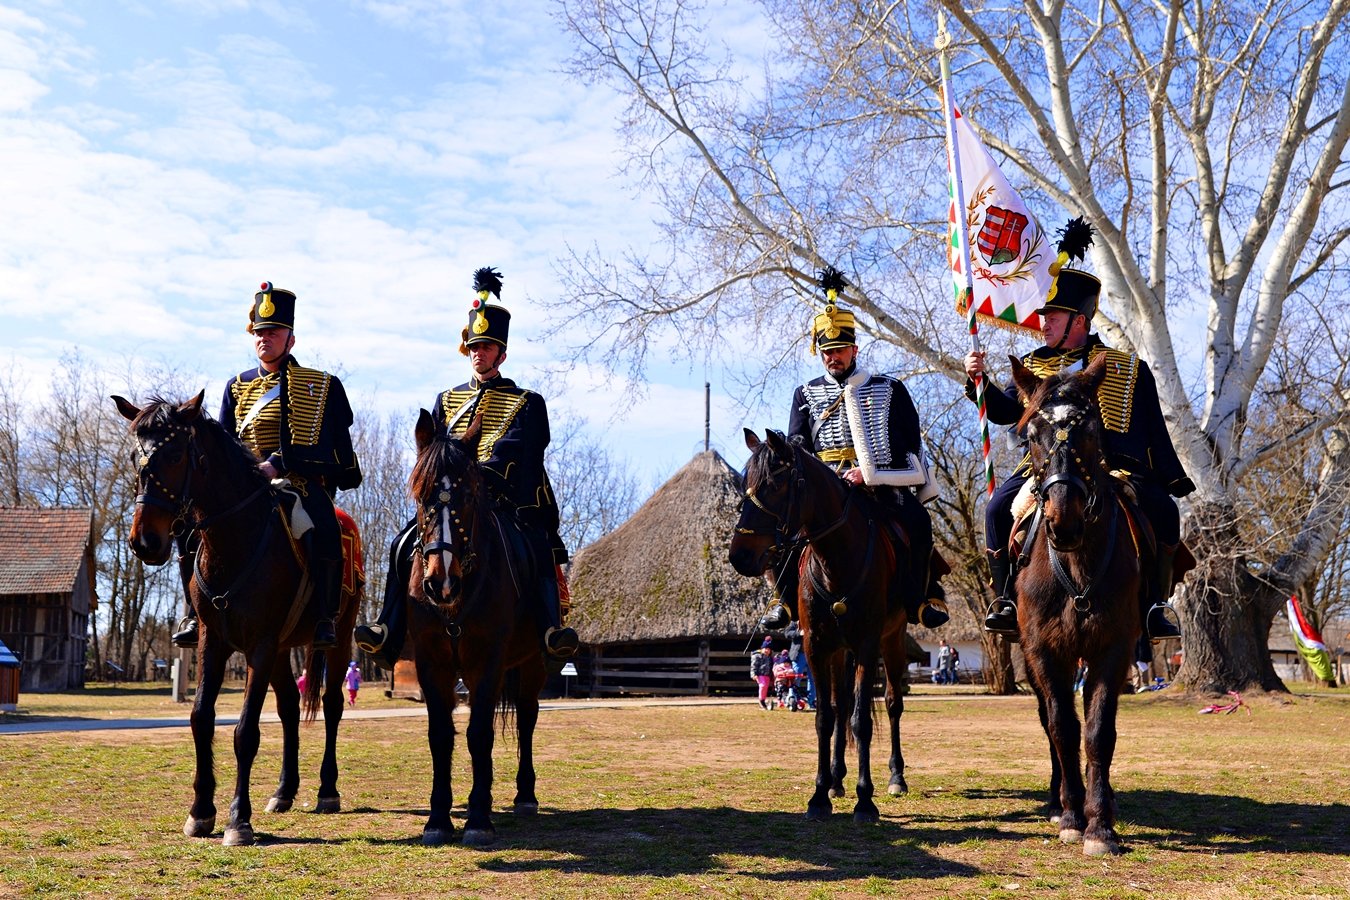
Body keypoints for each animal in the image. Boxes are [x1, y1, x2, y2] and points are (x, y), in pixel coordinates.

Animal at [112, 391, 359, 847]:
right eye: (136, 457)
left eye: (175, 455)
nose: (144, 542)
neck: (233, 541)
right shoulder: (215, 640)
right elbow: (200, 718)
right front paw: (200, 811)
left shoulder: (259, 644)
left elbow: (246, 730)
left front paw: (238, 820)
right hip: (281, 651)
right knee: (289, 708)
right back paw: (284, 791)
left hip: (339, 637)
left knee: (332, 705)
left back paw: (327, 790)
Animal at [402, 412, 545, 847]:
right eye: (421, 497)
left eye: (466, 496)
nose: (440, 582)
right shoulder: (432, 663)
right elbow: (441, 734)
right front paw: (437, 818)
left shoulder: (488, 661)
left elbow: (479, 732)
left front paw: (479, 818)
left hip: (534, 663)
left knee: (528, 716)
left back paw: (525, 795)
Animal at [729, 429, 918, 825]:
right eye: (744, 484)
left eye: (776, 483)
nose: (739, 556)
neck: (835, 560)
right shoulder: (817, 646)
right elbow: (825, 717)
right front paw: (819, 794)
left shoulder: (867, 645)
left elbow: (862, 721)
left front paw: (866, 800)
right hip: (838, 651)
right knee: (840, 706)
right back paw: (836, 780)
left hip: (891, 640)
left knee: (892, 704)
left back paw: (895, 776)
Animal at [1015, 353, 1150, 858]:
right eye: (1031, 434)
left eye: (1090, 430)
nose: (1064, 520)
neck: (1075, 565)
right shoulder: (1043, 651)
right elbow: (1062, 727)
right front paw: (1072, 816)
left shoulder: (1113, 650)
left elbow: (1097, 732)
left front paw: (1099, 825)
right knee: (1051, 724)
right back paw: (1058, 801)